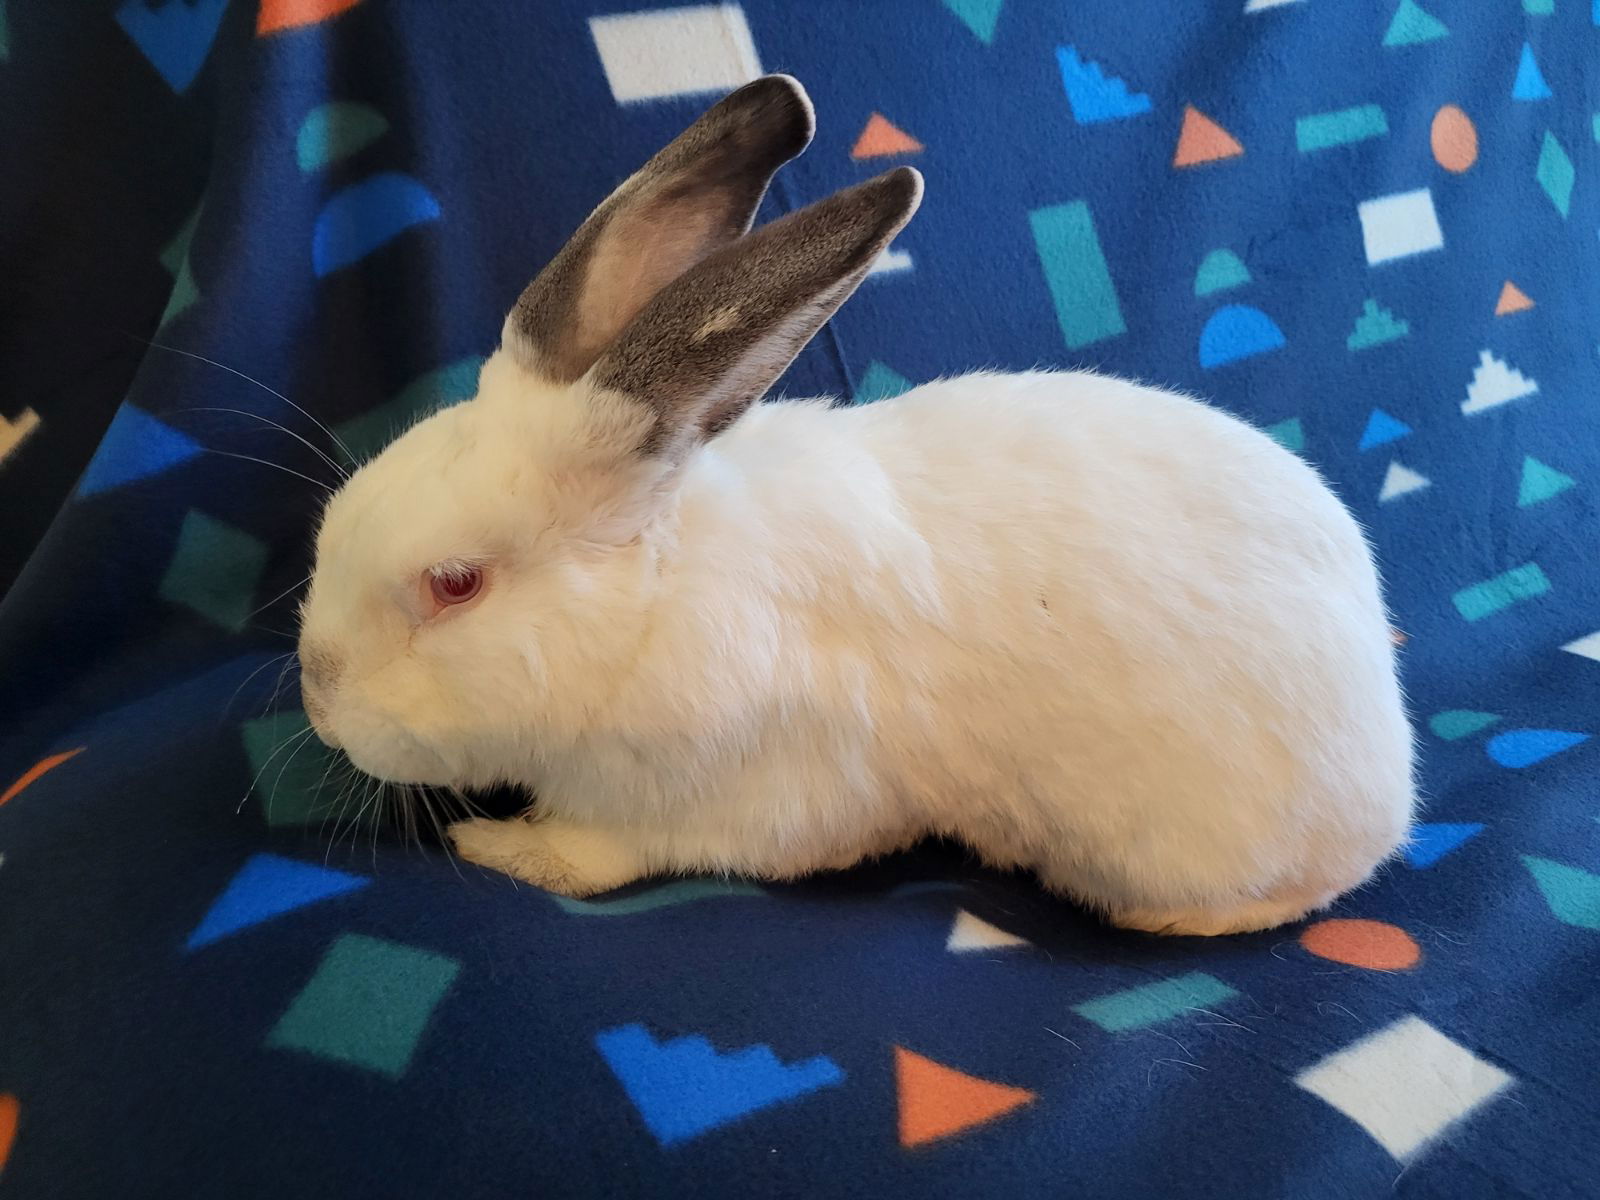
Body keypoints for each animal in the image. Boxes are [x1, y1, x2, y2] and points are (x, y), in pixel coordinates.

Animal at [297, 75, 1414, 940]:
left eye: (455, 585)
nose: (316, 700)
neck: (651, 602)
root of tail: (1388, 754)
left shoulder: (704, 802)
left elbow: (598, 859)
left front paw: (493, 844)